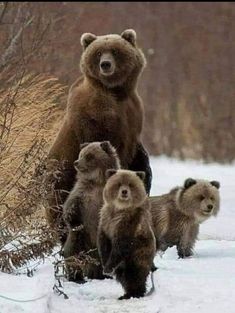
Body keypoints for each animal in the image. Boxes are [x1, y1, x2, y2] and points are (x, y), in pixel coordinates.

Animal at [46, 29, 152, 247]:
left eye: (115, 50)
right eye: (98, 53)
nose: (106, 64)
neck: (115, 91)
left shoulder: (133, 114)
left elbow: (138, 154)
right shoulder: (94, 115)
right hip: (60, 176)